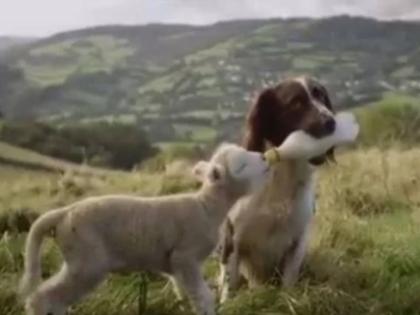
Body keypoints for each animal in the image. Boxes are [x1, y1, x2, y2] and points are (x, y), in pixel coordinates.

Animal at [18, 144, 270, 315]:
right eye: (241, 165)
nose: (264, 157)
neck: (206, 206)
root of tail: (63, 213)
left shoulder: (175, 265)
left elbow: (184, 292)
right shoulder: (185, 256)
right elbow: (203, 296)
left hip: (78, 259)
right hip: (87, 260)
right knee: (44, 296)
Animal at [218, 76, 336, 302]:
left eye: (321, 96)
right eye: (296, 103)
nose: (331, 122)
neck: (281, 178)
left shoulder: (298, 239)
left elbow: (289, 281)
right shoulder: (232, 238)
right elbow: (229, 285)